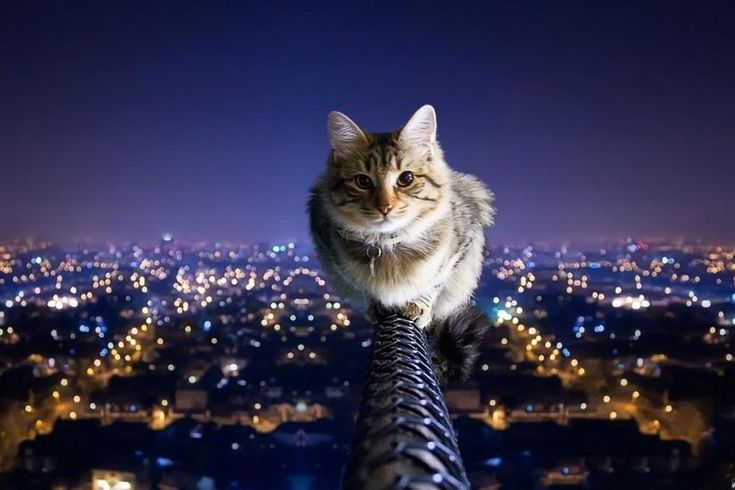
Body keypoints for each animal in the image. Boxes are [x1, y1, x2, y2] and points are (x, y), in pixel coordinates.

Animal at [308, 106, 498, 386]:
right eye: (363, 181)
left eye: (406, 178)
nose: (384, 207)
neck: (387, 242)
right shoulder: (332, 256)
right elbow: (365, 287)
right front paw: (378, 303)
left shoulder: (461, 245)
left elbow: (434, 282)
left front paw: (420, 304)